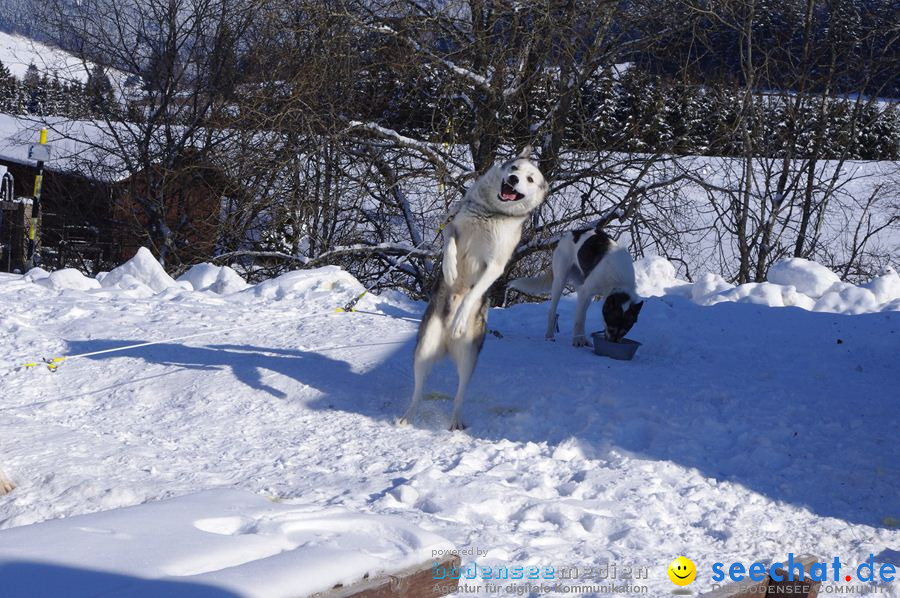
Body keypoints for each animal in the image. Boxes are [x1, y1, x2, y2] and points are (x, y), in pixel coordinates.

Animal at [400, 149, 548, 432]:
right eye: (514, 167)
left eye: (530, 179)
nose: (513, 179)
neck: (491, 213)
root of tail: (446, 344)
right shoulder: (452, 225)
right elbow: (449, 242)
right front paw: (449, 269)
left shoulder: (495, 265)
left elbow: (472, 293)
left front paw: (460, 317)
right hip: (424, 348)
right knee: (417, 390)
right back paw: (408, 415)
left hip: (468, 358)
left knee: (460, 394)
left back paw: (455, 421)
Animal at [510, 225, 644, 346]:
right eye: (611, 328)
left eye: (625, 331)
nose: (613, 343)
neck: (619, 282)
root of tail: (572, 232)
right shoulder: (586, 291)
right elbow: (579, 319)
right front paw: (578, 340)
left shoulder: (588, 293)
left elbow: (582, 317)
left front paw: (581, 338)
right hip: (560, 281)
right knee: (553, 311)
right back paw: (550, 335)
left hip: (581, 286)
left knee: (581, 312)